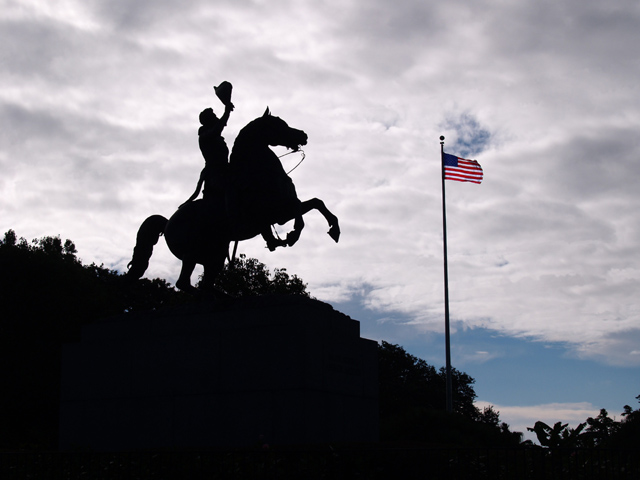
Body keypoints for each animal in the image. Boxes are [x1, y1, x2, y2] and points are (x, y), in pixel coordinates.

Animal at [127, 108, 342, 292]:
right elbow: (299, 207)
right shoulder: (275, 212)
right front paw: (293, 234)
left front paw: (334, 229)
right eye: (278, 125)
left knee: (205, 282)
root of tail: (167, 223)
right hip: (193, 252)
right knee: (184, 282)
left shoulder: (282, 211)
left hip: (216, 255)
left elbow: (316, 202)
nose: (303, 135)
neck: (261, 173)